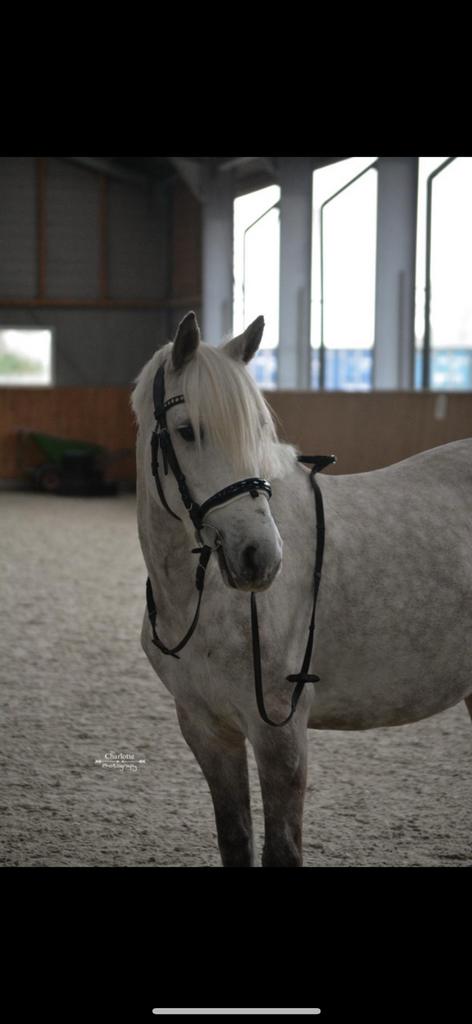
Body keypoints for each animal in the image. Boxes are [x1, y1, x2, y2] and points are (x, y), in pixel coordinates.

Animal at [131, 310, 472, 867]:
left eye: (258, 430)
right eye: (186, 431)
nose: (260, 556)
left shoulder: (280, 733)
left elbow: (282, 849)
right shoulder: (206, 729)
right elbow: (235, 839)